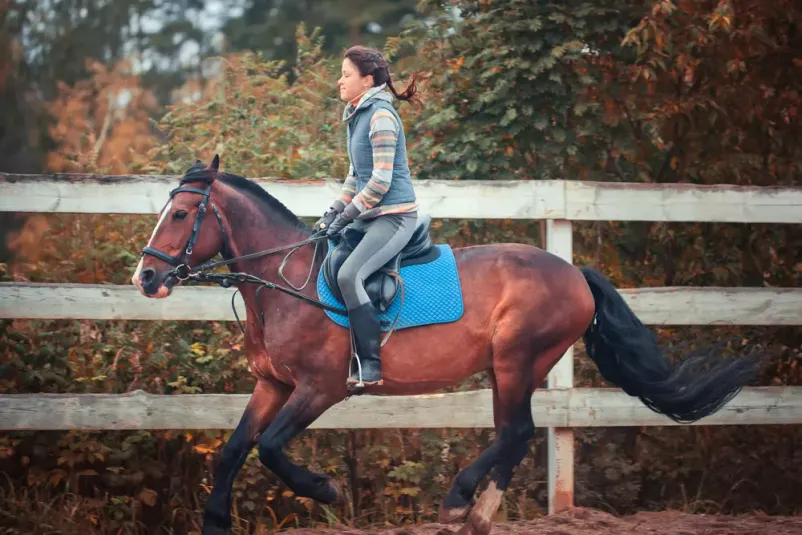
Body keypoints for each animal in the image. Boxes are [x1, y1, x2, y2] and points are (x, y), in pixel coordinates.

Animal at [132, 155, 760, 535]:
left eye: (181, 213)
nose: (146, 278)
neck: (285, 282)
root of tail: (575, 273)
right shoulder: (272, 384)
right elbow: (235, 449)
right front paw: (215, 521)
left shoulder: (319, 389)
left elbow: (270, 449)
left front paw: (325, 490)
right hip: (510, 368)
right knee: (515, 434)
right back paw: (477, 514)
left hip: (518, 359)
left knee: (516, 431)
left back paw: (461, 502)